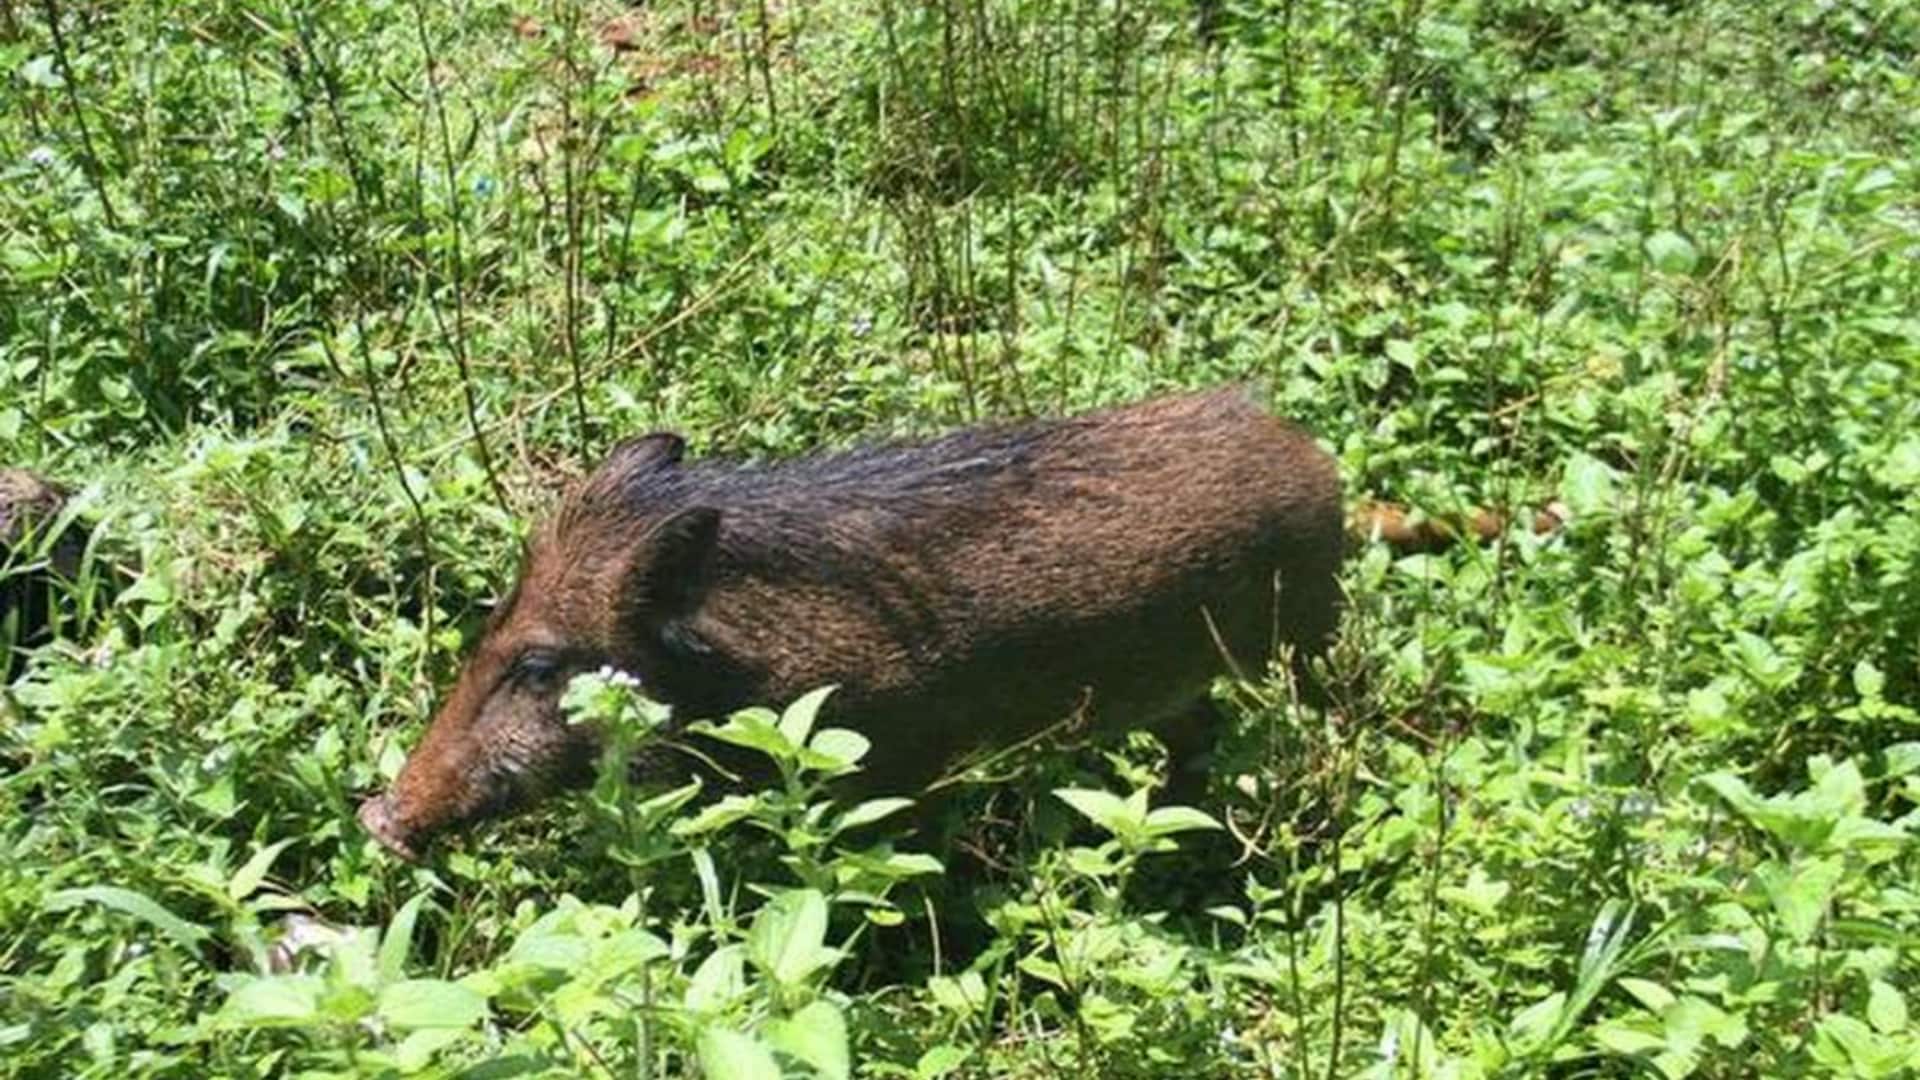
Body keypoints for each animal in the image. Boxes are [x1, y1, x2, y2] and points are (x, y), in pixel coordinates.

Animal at [358, 386, 1346, 859]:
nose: (378, 818)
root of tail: (1311, 454)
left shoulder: (897, 766)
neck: (731, 664)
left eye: (537, 665)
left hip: (1310, 637)